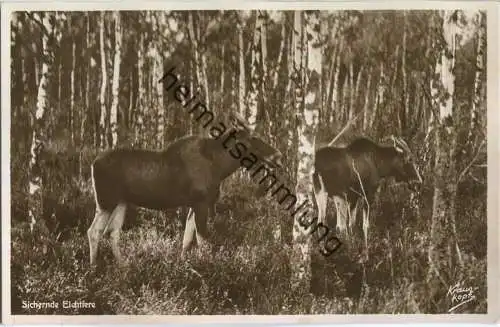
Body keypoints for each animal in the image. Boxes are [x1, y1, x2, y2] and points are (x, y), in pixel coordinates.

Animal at [88, 113, 284, 266]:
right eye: (252, 138)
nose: (279, 156)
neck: (220, 167)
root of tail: (93, 163)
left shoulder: (193, 205)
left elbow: (186, 240)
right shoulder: (201, 202)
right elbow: (203, 241)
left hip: (121, 202)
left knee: (112, 233)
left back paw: (123, 267)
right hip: (106, 201)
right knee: (94, 231)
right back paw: (93, 268)